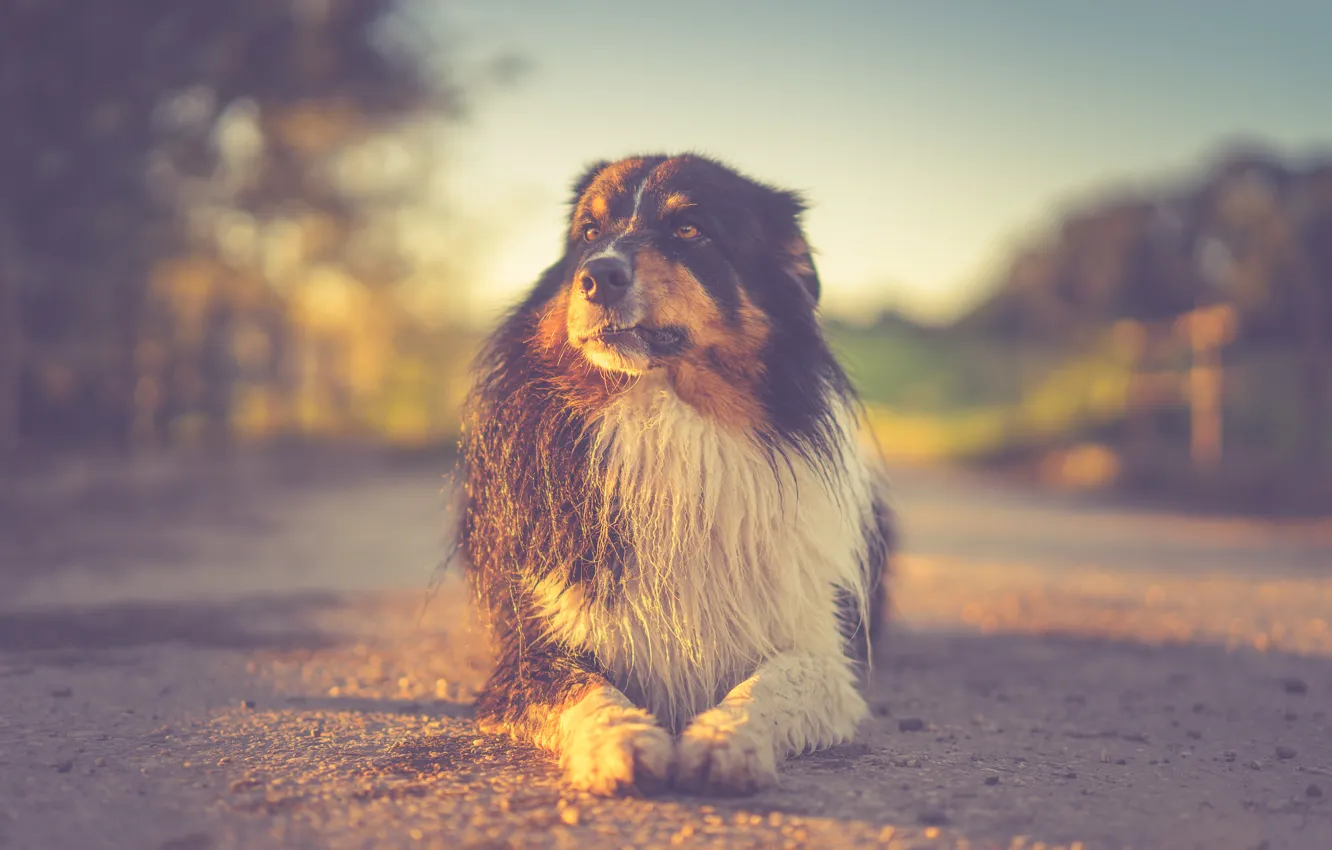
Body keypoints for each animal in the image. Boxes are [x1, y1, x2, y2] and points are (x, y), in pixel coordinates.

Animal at [460, 154, 895, 799]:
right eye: (589, 232)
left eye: (690, 230)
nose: (597, 275)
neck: (661, 415)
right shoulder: (528, 652)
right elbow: (585, 688)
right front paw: (620, 742)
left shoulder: (819, 648)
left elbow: (771, 682)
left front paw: (725, 738)